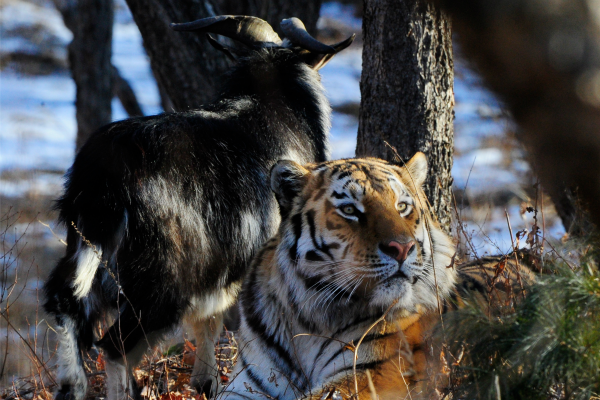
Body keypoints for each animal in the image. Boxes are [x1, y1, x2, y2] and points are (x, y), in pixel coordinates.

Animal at [44, 16, 354, 400]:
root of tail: (105, 179)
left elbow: (208, 320)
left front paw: (206, 383)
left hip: (86, 250)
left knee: (65, 304)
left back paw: (73, 385)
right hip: (161, 279)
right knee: (116, 346)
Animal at [218, 154, 458, 400]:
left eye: (401, 206)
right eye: (349, 209)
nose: (402, 248)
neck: (307, 319)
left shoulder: (376, 373)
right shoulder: (247, 383)